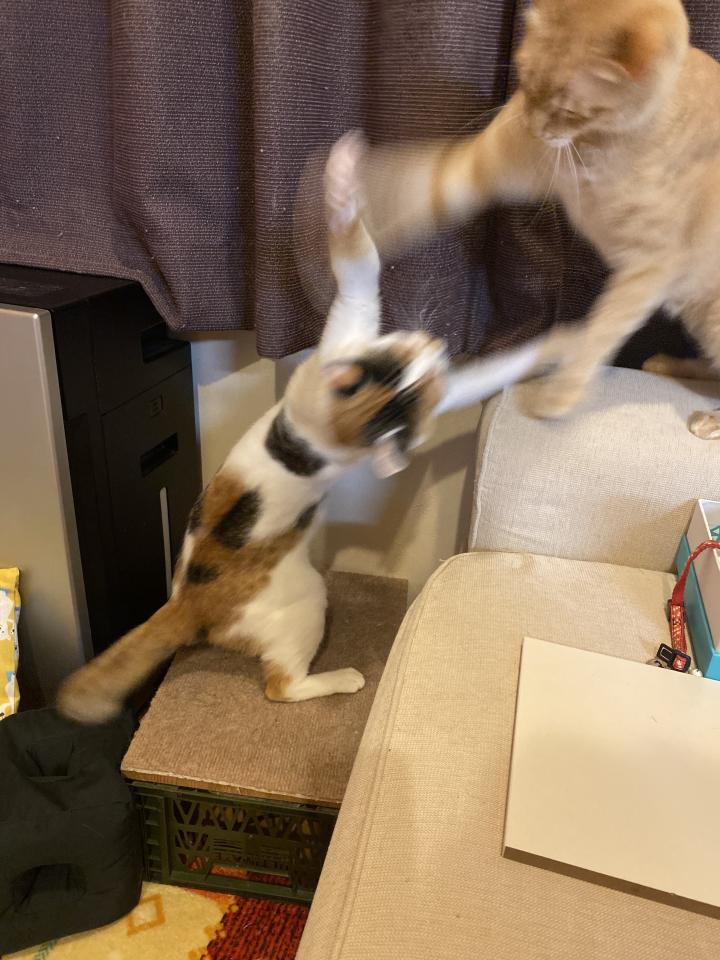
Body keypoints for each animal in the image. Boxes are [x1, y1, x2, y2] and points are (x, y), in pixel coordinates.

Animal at [56, 133, 448, 725]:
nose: (436, 347)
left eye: (414, 379)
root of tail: (184, 603)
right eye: (393, 365)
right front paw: (342, 181)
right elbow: (359, 262)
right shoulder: (348, 321)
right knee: (281, 688)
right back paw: (344, 677)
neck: (328, 432)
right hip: (308, 602)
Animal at [357, 0, 720, 439]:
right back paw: (669, 363)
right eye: (527, 83)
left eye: (568, 108)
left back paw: (709, 417)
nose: (533, 125)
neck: (593, 149)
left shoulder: (649, 266)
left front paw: (560, 395)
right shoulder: (490, 163)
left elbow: (600, 332)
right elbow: (424, 187)